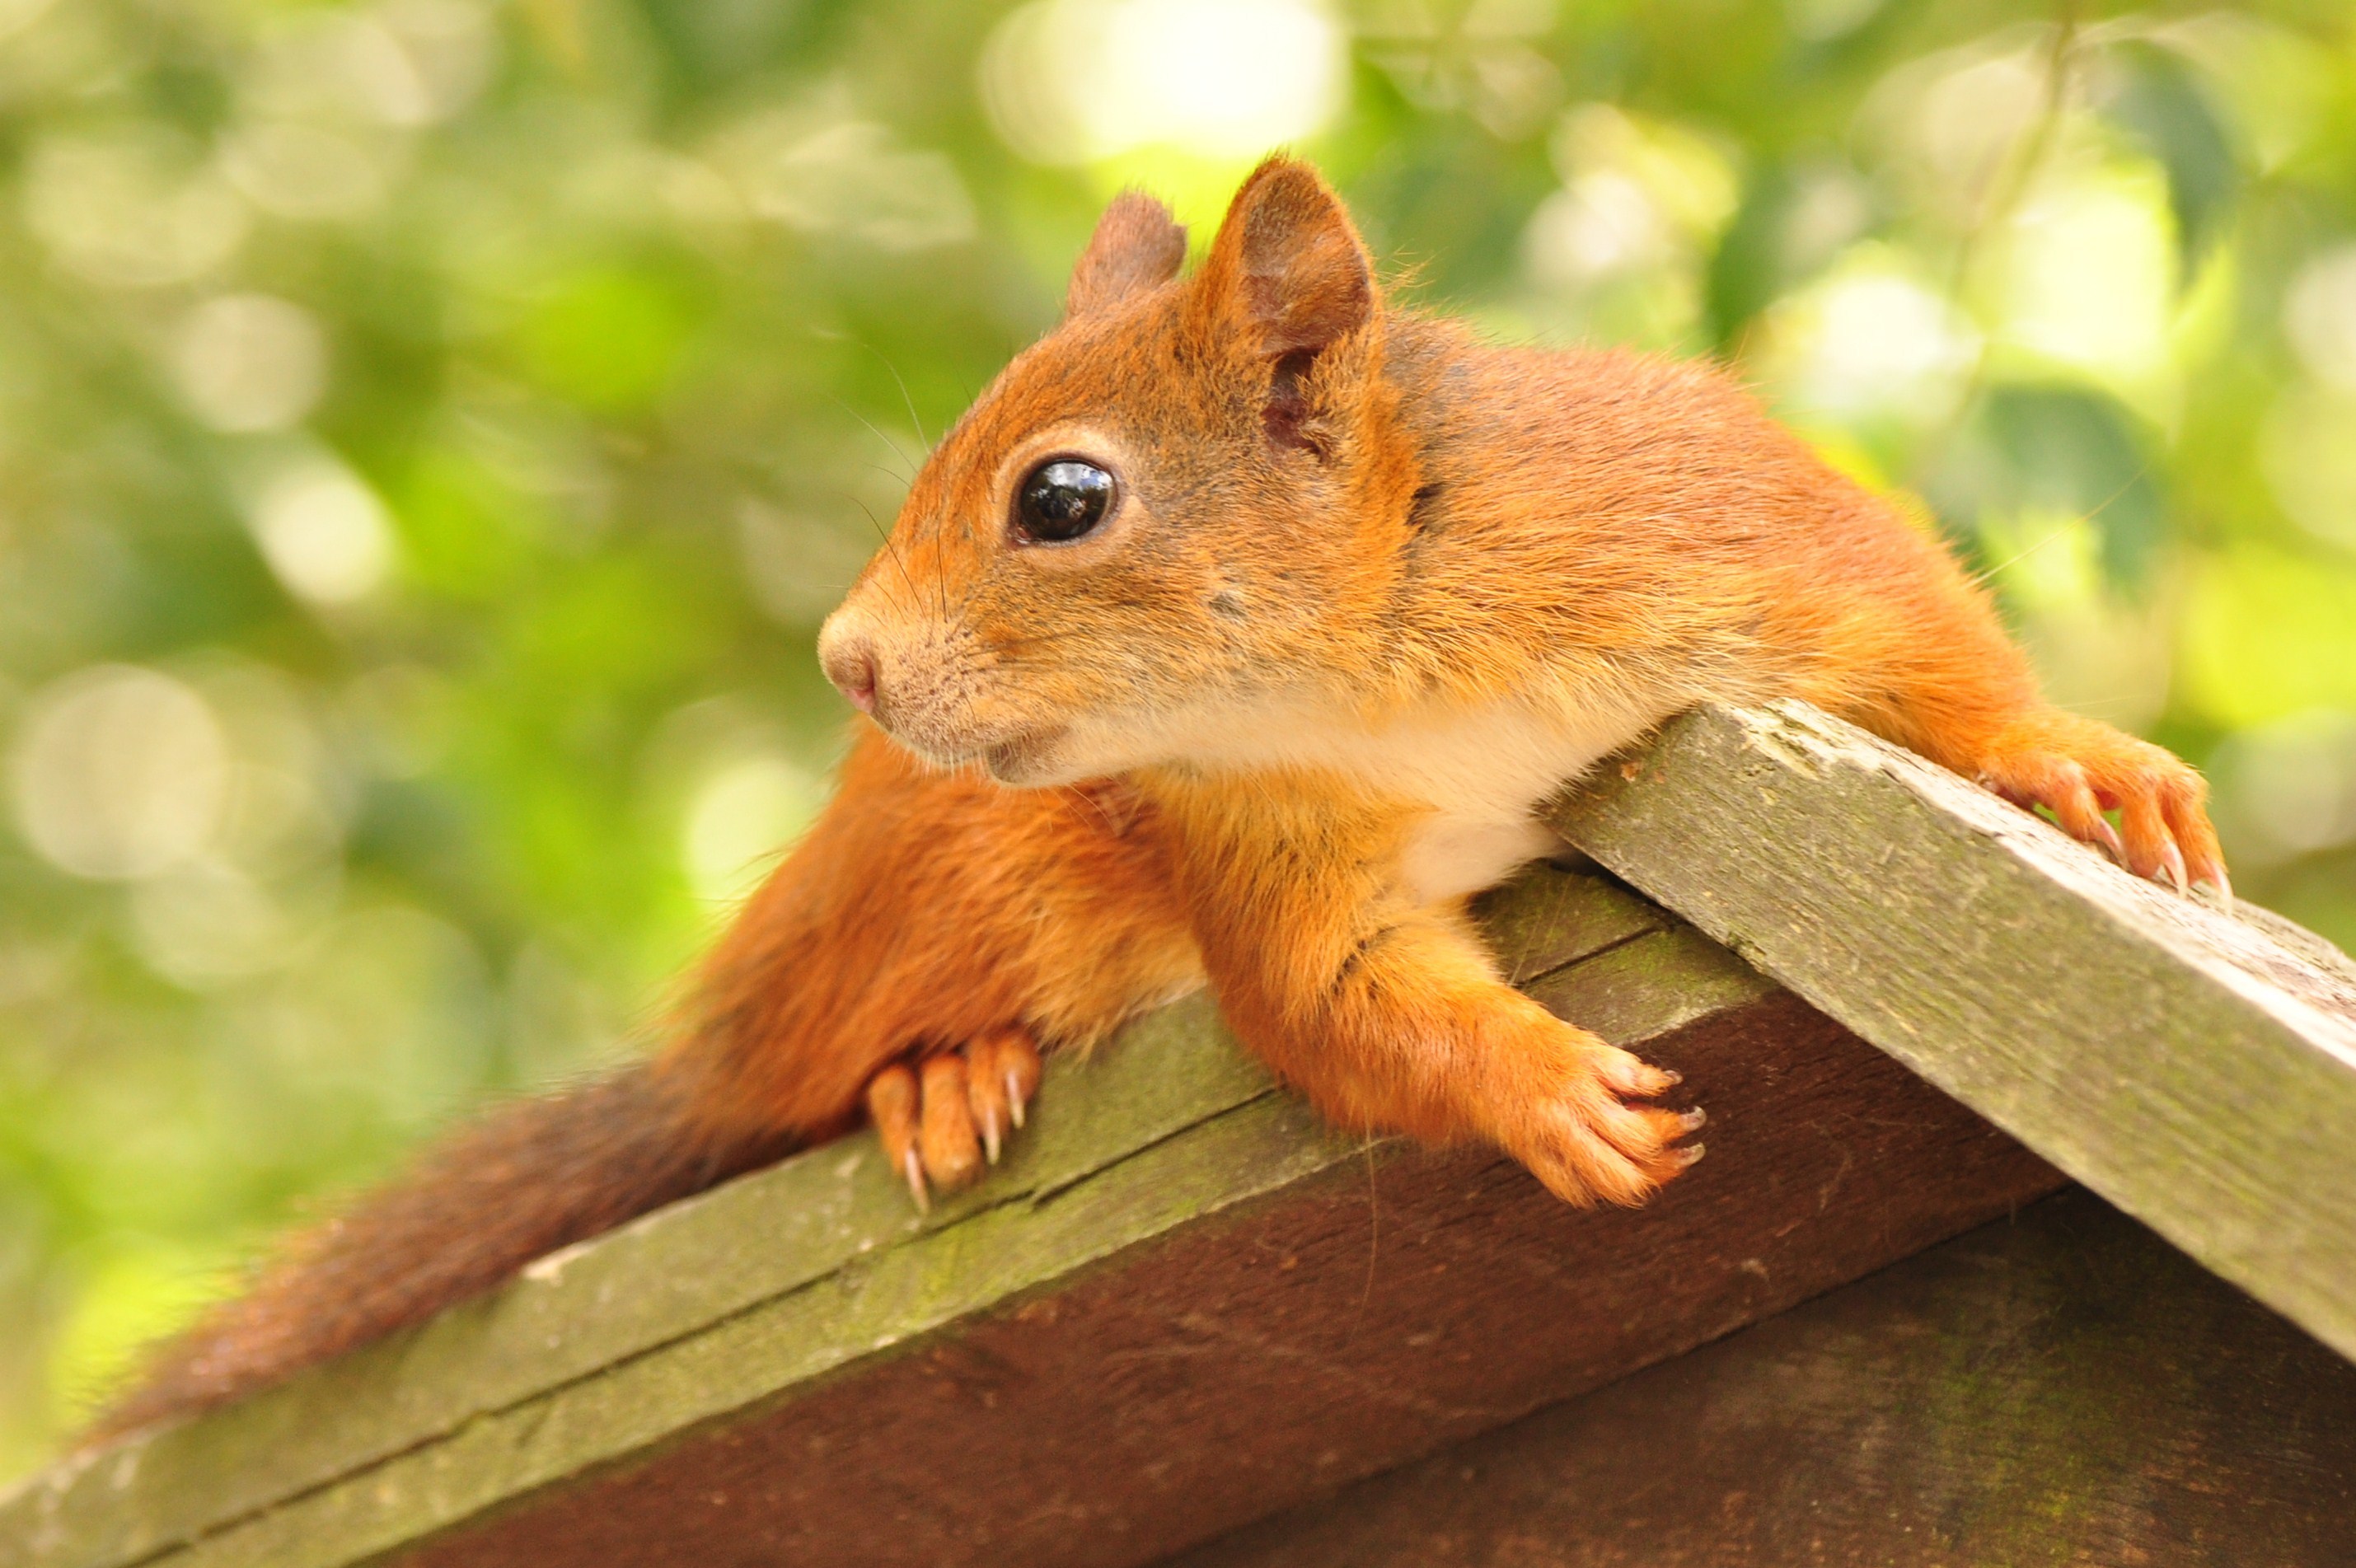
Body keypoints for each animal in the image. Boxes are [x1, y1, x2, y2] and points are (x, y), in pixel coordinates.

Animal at [91, 158, 2223, 1440]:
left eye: (1061, 495)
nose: (846, 664)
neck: (1373, 669)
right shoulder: (1253, 851)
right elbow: (1329, 1001)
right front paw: (1548, 1091)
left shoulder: (1726, 530)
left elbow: (1925, 644)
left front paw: (2075, 757)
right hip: (955, 867)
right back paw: (934, 1076)